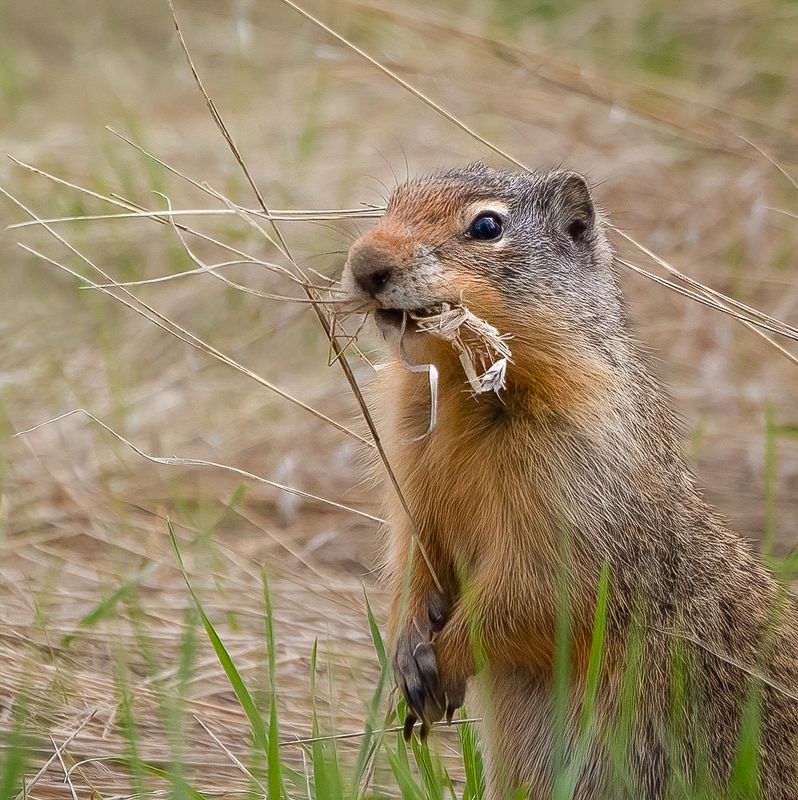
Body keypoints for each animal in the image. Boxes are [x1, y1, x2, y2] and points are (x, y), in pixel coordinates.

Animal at [340, 166, 798, 796]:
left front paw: (443, 660)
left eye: (487, 226)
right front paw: (407, 648)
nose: (365, 263)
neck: (460, 384)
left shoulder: (573, 486)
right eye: (389, 205)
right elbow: (413, 556)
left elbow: (533, 591)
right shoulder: (409, 475)